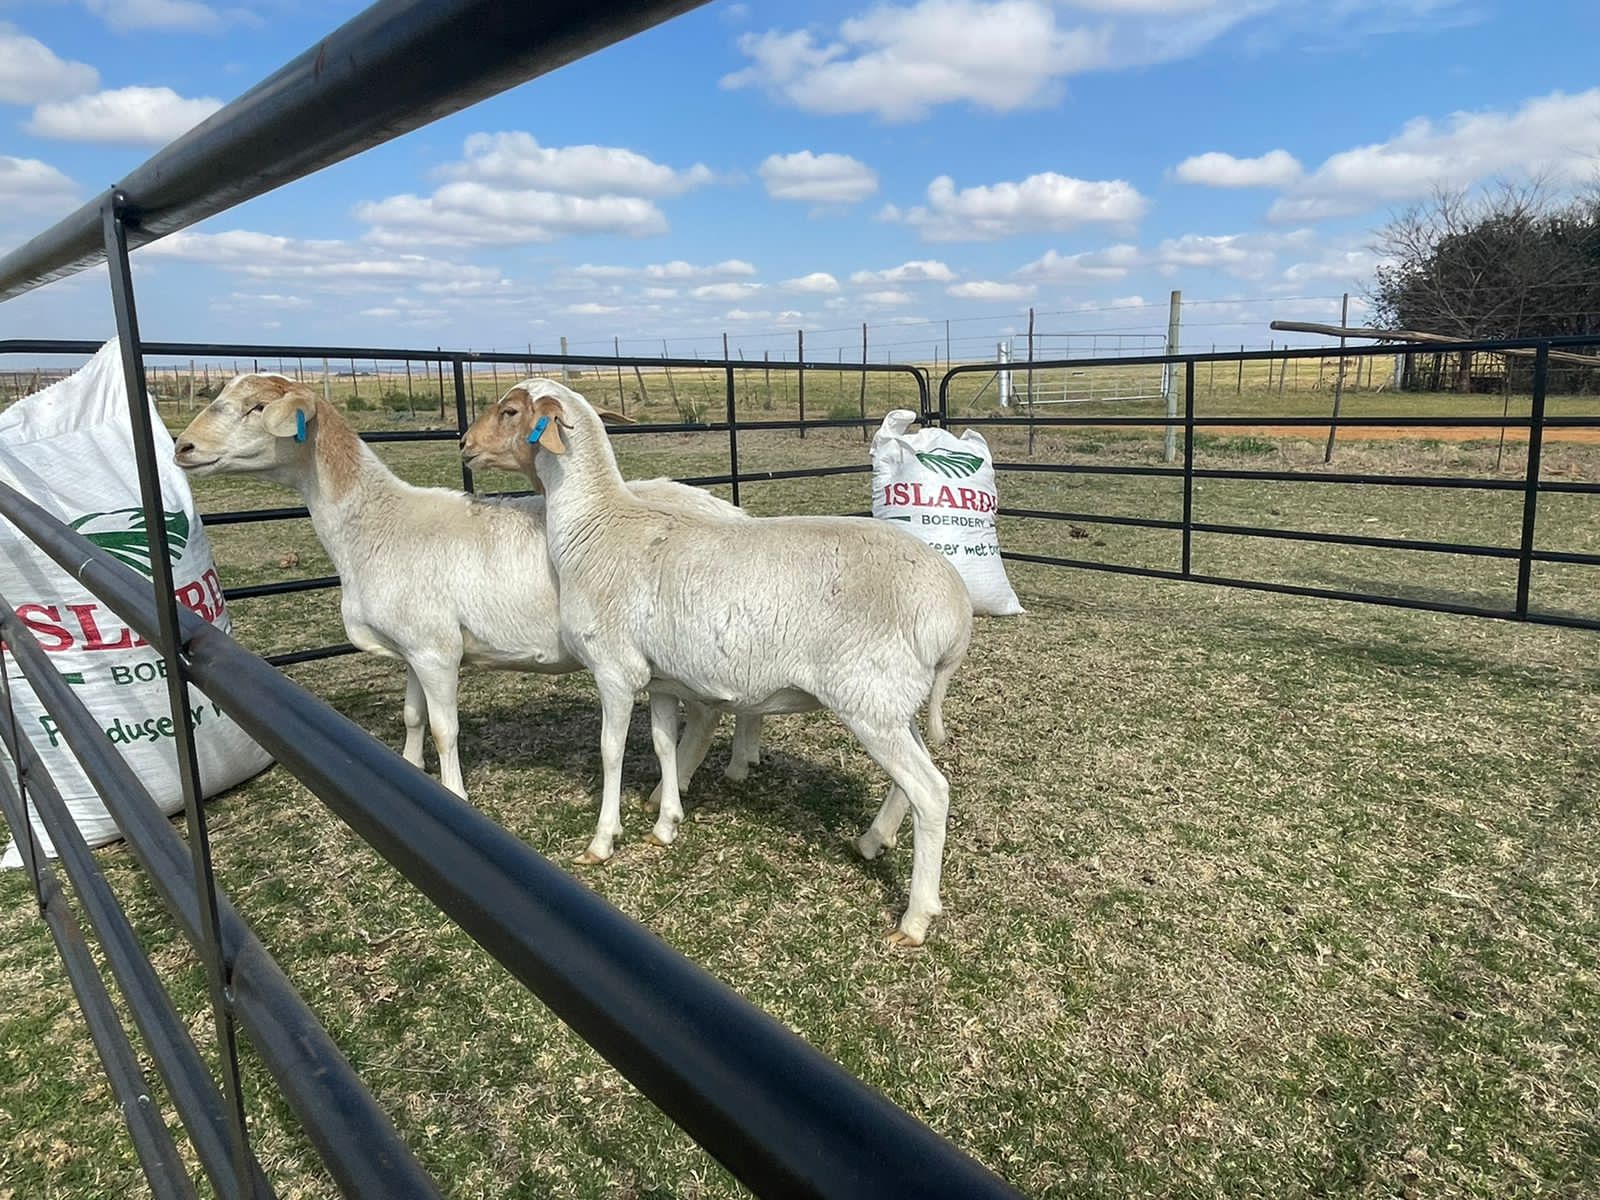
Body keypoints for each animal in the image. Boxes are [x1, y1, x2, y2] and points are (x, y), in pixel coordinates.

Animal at [174, 372, 761, 805]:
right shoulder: (412, 647)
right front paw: (410, 772)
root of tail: (733, 513)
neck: (376, 523)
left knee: (707, 712)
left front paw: (454, 794)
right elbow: (412, 717)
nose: (183, 446)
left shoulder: (436, 650)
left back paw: (677, 784)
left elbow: (444, 730)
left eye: (255, 408)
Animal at [459, 379, 973, 946]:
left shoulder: (615, 669)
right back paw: (871, 840)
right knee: (913, 779)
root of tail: (953, 611)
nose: (463, 444)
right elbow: (664, 744)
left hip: (869, 698)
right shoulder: (659, 680)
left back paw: (915, 918)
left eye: (509, 411)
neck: (596, 527)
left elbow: (611, 751)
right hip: (892, 699)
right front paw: (665, 824)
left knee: (931, 792)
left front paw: (602, 840)